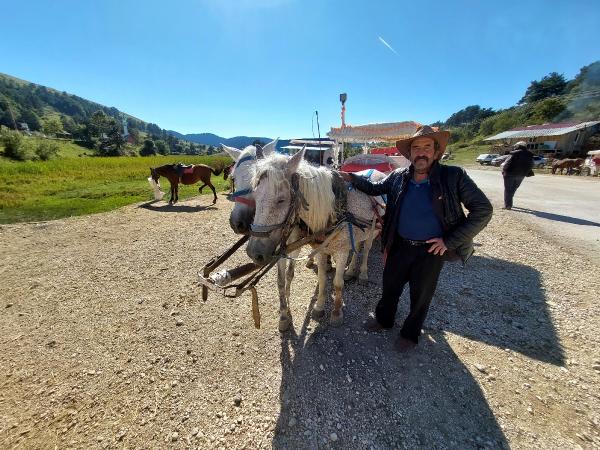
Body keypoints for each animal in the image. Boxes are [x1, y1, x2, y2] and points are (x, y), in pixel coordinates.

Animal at [247, 149, 380, 326]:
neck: (334, 210)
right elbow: (322, 279)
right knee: (358, 245)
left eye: (281, 200)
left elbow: (337, 283)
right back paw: (351, 271)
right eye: (254, 196)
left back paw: (363, 274)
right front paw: (319, 307)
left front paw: (336, 313)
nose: (254, 252)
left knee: (366, 250)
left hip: (373, 230)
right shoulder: (320, 249)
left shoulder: (342, 251)